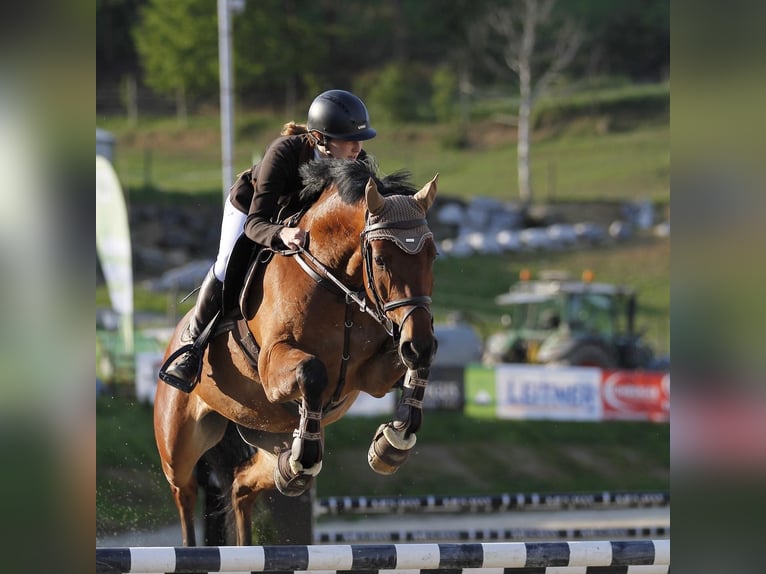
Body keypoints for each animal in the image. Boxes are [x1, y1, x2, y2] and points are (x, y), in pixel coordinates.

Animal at [154, 158, 439, 546]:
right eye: (380, 259)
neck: (337, 283)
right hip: (178, 444)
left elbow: (416, 367)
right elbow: (312, 372)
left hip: (267, 439)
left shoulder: (372, 375)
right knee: (184, 494)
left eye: (432, 255)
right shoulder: (273, 365)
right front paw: (305, 457)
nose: (417, 342)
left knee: (241, 486)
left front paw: (393, 442)